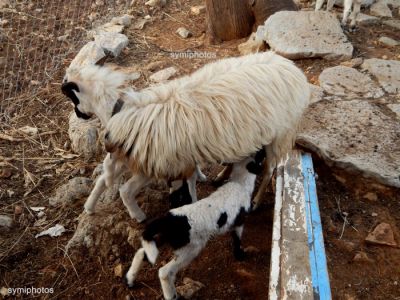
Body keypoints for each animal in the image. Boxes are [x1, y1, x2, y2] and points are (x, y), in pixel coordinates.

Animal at [124, 149, 266, 300]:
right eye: (260, 156)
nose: (263, 149)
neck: (239, 183)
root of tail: (169, 219)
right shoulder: (239, 221)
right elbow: (237, 239)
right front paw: (240, 255)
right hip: (190, 248)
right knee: (164, 272)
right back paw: (171, 295)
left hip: (165, 238)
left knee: (141, 252)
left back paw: (129, 280)